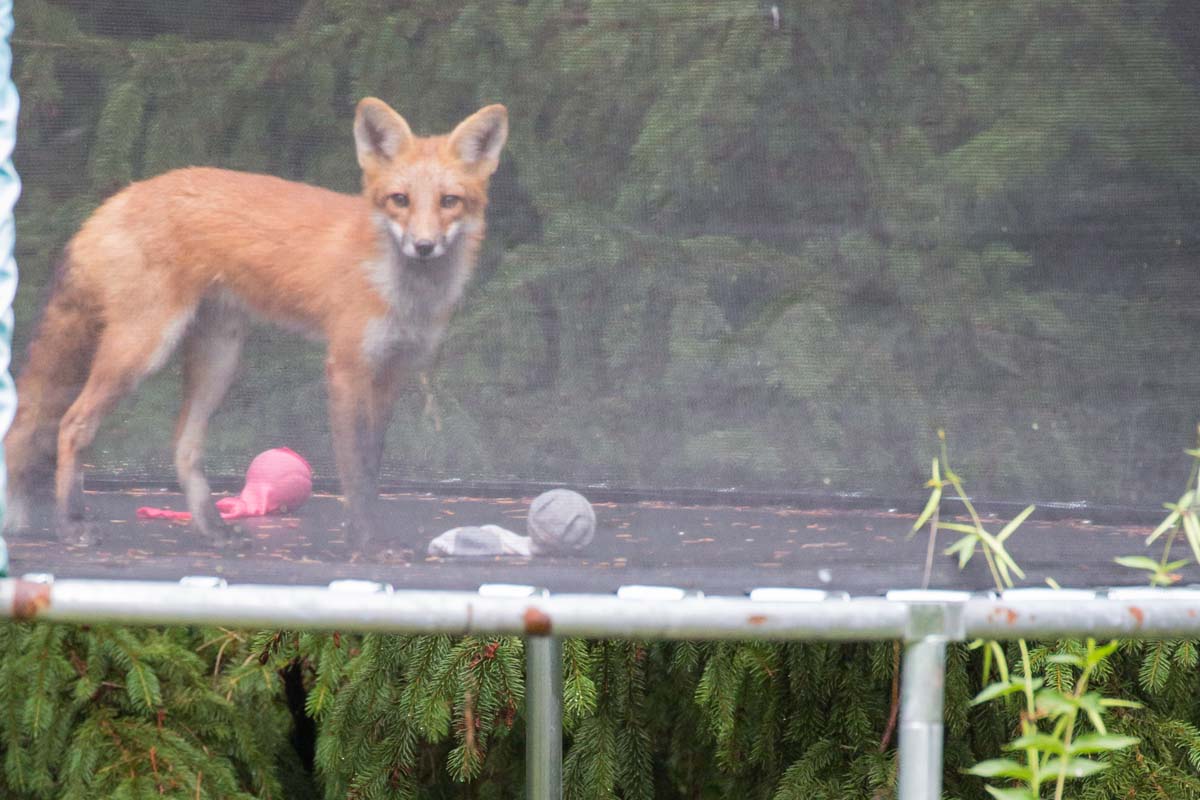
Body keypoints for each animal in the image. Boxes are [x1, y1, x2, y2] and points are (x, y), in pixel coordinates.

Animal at [3, 98, 508, 551]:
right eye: (399, 200)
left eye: (449, 202)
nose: (423, 246)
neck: (402, 293)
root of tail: (118, 197)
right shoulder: (346, 368)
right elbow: (355, 471)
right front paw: (366, 543)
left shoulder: (393, 373)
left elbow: (372, 465)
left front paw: (365, 534)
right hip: (142, 349)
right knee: (71, 425)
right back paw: (72, 524)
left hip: (219, 358)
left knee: (183, 447)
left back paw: (212, 529)